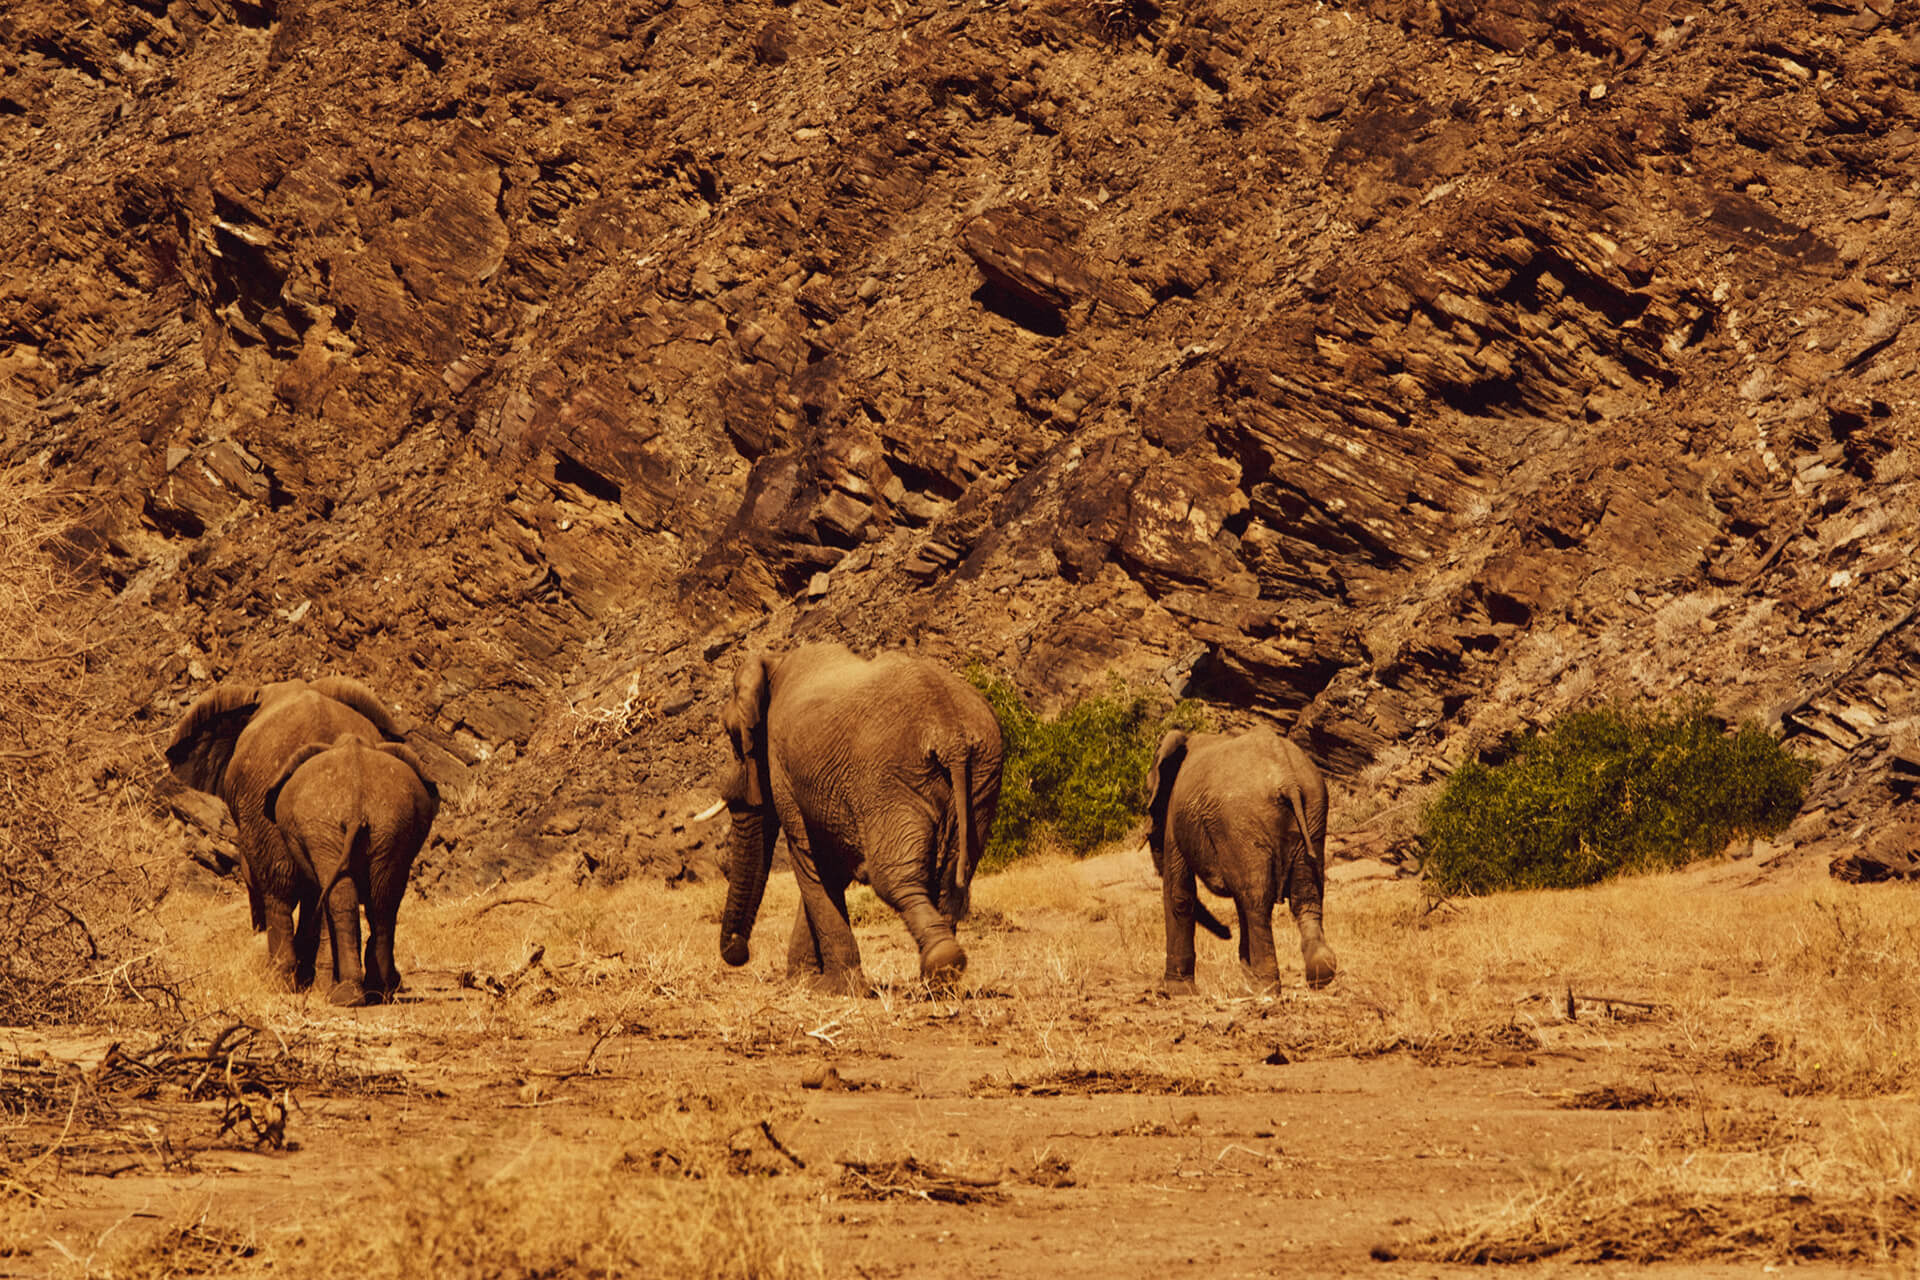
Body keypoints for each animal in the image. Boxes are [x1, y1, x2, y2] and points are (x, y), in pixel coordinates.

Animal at [263, 736, 439, 1005]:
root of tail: (356, 804)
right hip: (388, 824)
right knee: (381, 902)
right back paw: (374, 992)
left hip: (329, 826)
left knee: (348, 899)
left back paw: (349, 995)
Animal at [710, 644, 1006, 997]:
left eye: (731, 736)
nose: (739, 949)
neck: (774, 662)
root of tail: (951, 734)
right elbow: (830, 868)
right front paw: (805, 982)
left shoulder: (784, 767)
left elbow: (813, 862)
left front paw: (834, 988)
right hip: (982, 778)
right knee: (952, 881)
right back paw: (937, 982)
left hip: (888, 780)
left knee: (894, 879)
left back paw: (943, 964)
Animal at [1152, 725, 1336, 997]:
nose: (1226, 933)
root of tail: (1287, 778)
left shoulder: (1176, 816)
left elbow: (1179, 895)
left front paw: (1177, 992)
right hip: (1313, 810)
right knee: (1305, 895)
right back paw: (1319, 974)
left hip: (1241, 817)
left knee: (1256, 900)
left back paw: (1264, 988)